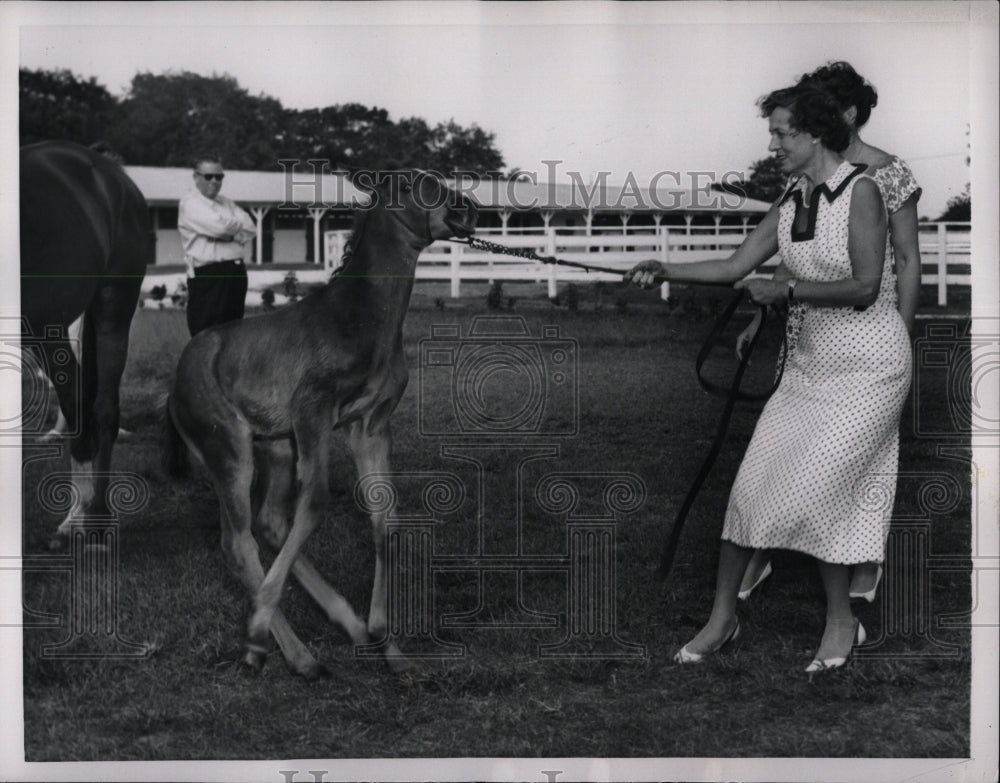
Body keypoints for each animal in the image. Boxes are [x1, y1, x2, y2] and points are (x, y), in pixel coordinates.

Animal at [164, 173, 476, 680]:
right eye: (419, 185)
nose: (469, 208)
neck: (362, 318)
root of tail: (174, 387)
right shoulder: (313, 412)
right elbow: (315, 504)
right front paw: (260, 632)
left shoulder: (371, 425)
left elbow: (384, 518)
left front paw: (388, 644)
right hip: (229, 448)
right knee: (238, 542)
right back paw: (285, 650)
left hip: (276, 445)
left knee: (269, 523)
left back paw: (342, 628)